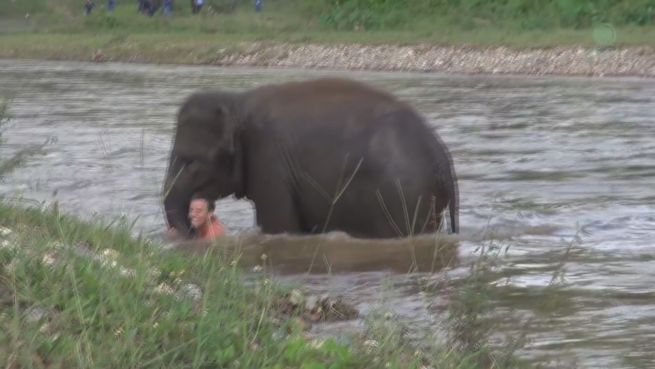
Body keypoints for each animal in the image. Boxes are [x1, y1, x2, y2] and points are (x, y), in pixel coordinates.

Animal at [164, 78, 462, 239]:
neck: (237, 102)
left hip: (405, 198)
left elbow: (279, 224)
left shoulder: (270, 160)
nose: (193, 225)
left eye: (190, 161)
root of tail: (442, 156)